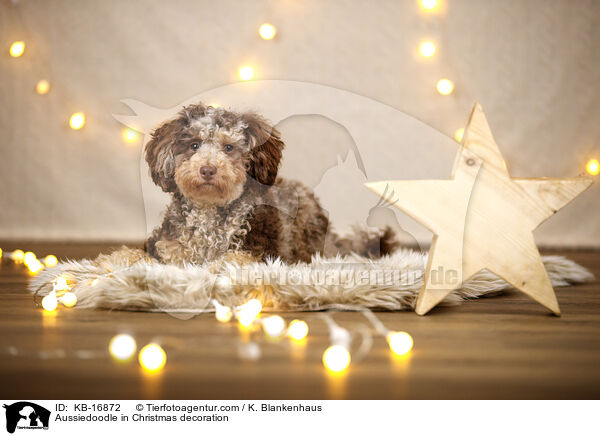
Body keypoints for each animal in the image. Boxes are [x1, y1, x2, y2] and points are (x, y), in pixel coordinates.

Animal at [145, 103, 398, 266]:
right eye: (194, 145)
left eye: (229, 148)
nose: (207, 170)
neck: (210, 210)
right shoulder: (166, 247)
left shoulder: (259, 251)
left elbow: (230, 260)